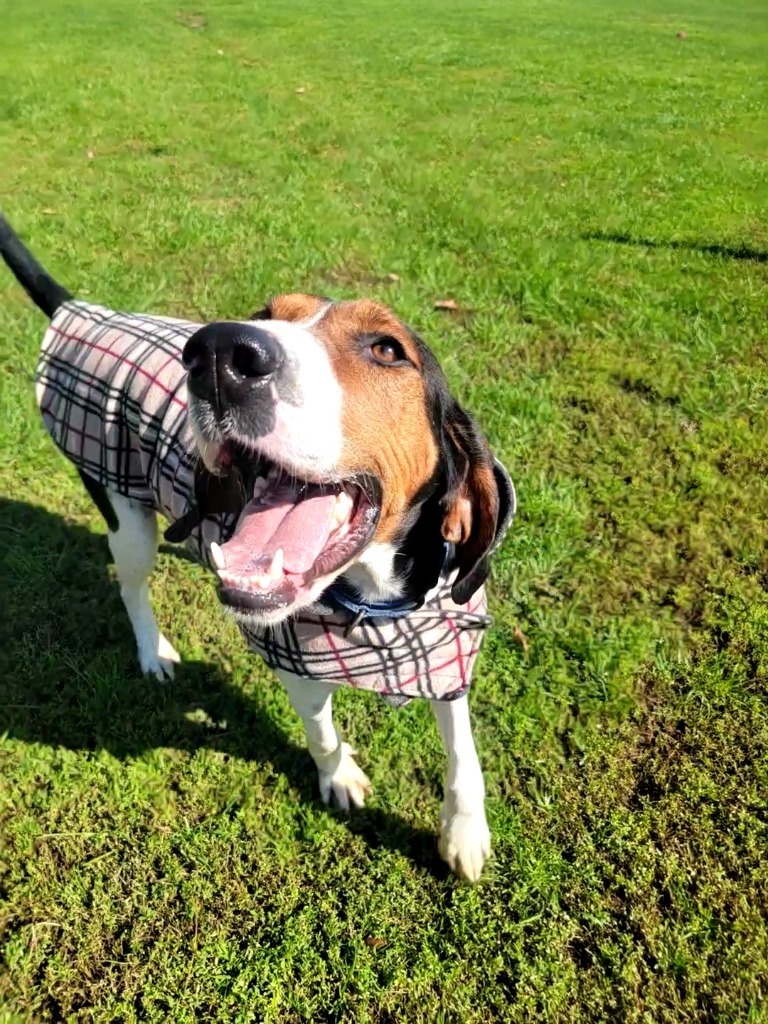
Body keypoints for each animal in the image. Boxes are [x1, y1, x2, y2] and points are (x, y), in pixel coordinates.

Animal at [3, 214, 518, 880]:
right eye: (264, 313)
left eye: (386, 348)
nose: (218, 353)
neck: (377, 605)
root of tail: (84, 313)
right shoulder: (297, 669)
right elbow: (322, 734)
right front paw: (340, 776)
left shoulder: (448, 648)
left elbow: (463, 752)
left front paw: (464, 832)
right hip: (128, 518)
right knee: (131, 588)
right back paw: (153, 652)